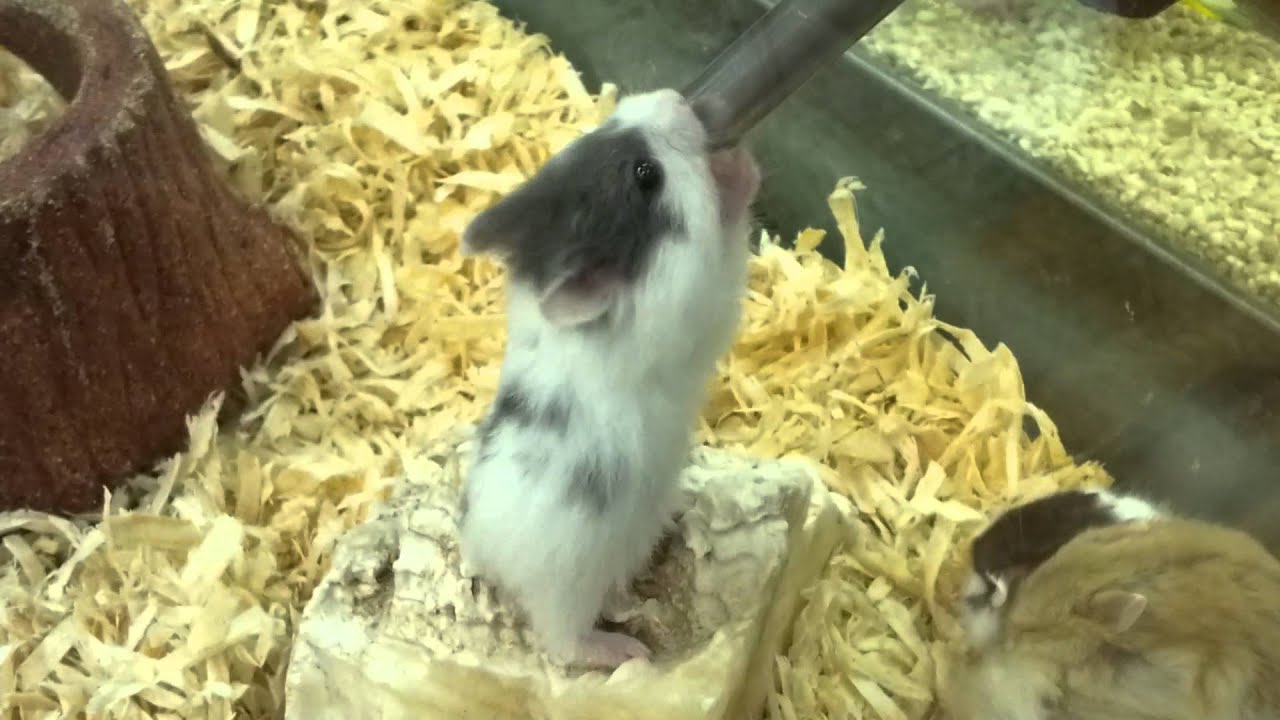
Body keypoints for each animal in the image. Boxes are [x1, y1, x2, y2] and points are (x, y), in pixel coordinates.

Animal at [455, 89, 760, 670]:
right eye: (646, 175)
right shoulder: (701, 293)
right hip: (567, 584)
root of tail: (484, 555)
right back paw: (626, 650)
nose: (678, 97)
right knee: (564, 642)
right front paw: (740, 167)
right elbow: (726, 229)